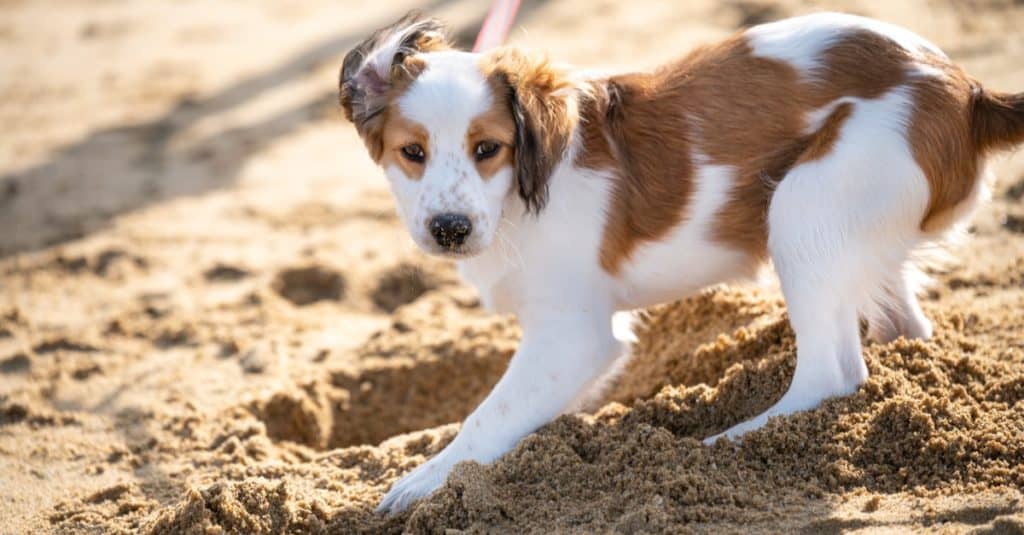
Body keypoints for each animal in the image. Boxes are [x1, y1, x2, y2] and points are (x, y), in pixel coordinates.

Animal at [337, 10, 1024, 510]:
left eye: (488, 148)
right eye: (412, 152)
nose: (448, 230)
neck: (519, 197)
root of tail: (968, 92)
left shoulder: (574, 334)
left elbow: (490, 415)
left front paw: (426, 481)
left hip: (802, 207)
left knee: (832, 375)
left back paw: (725, 444)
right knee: (903, 331)